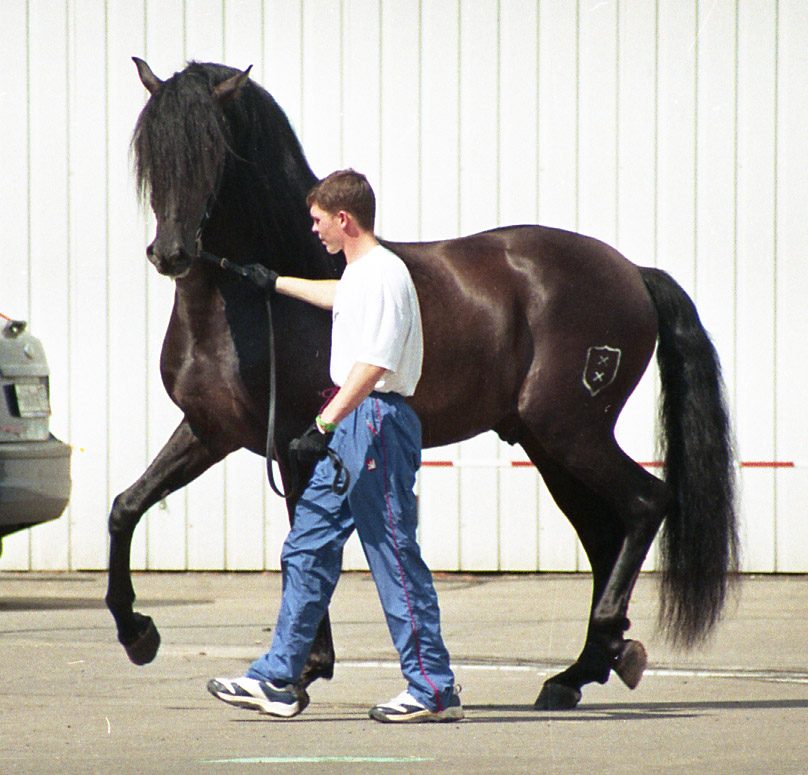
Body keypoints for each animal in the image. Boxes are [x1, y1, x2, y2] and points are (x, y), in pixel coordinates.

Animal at [106, 58, 738, 711]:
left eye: (215, 153)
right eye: (153, 151)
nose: (171, 254)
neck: (254, 300)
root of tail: (633, 272)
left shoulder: (294, 443)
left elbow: (302, 552)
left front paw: (299, 673)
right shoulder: (210, 432)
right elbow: (126, 506)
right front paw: (137, 634)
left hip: (572, 434)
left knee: (645, 502)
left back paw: (604, 647)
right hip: (551, 446)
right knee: (605, 534)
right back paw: (580, 671)